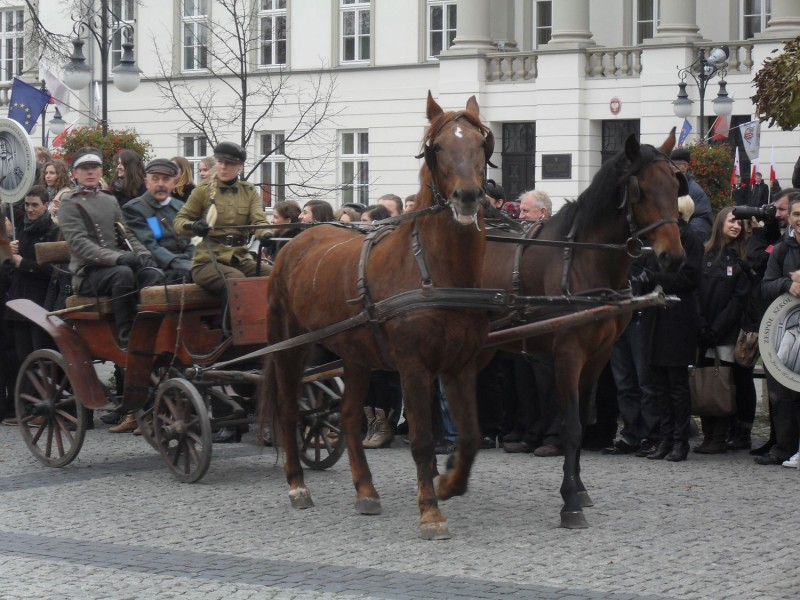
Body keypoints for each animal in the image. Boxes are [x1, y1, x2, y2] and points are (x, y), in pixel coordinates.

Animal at [261, 92, 495, 540]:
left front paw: (449, 482)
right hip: (291, 345)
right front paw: (430, 511)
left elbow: (472, 436)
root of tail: (295, 241)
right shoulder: (414, 367)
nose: (468, 197)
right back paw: (298, 485)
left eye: (481, 144)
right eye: (439, 147)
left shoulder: (461, 365)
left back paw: (366, 491)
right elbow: (422, 440)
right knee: (287, 411)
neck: (434, 269)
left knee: (350, 414)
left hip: (356, 354)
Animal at [479, 130, 686, 529]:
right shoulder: (568, 353)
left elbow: (585, 414)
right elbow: (573, 424)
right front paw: (570, 503)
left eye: (675, 184)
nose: (674, 257)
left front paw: (578, 489)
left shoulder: (599, 354)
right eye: (641, 190)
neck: (584, 260)